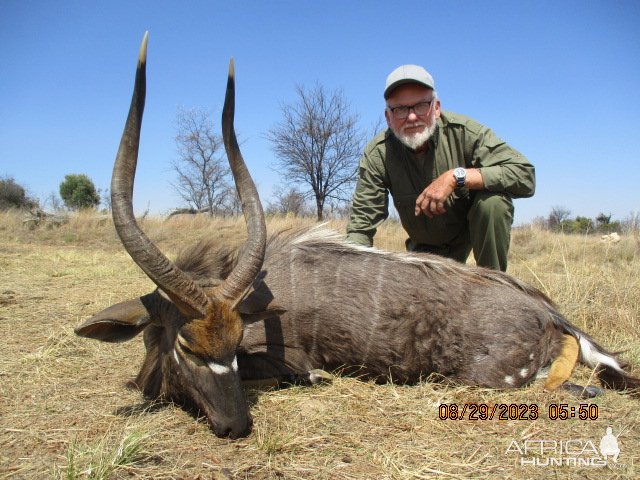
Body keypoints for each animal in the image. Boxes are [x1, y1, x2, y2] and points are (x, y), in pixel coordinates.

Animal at [76, 33, 640, 438]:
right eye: (188, 345)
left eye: (234, 342)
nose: (236, 426)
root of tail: (548, 312)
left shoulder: (287, 357)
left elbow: (300, 371)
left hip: (495, 379)